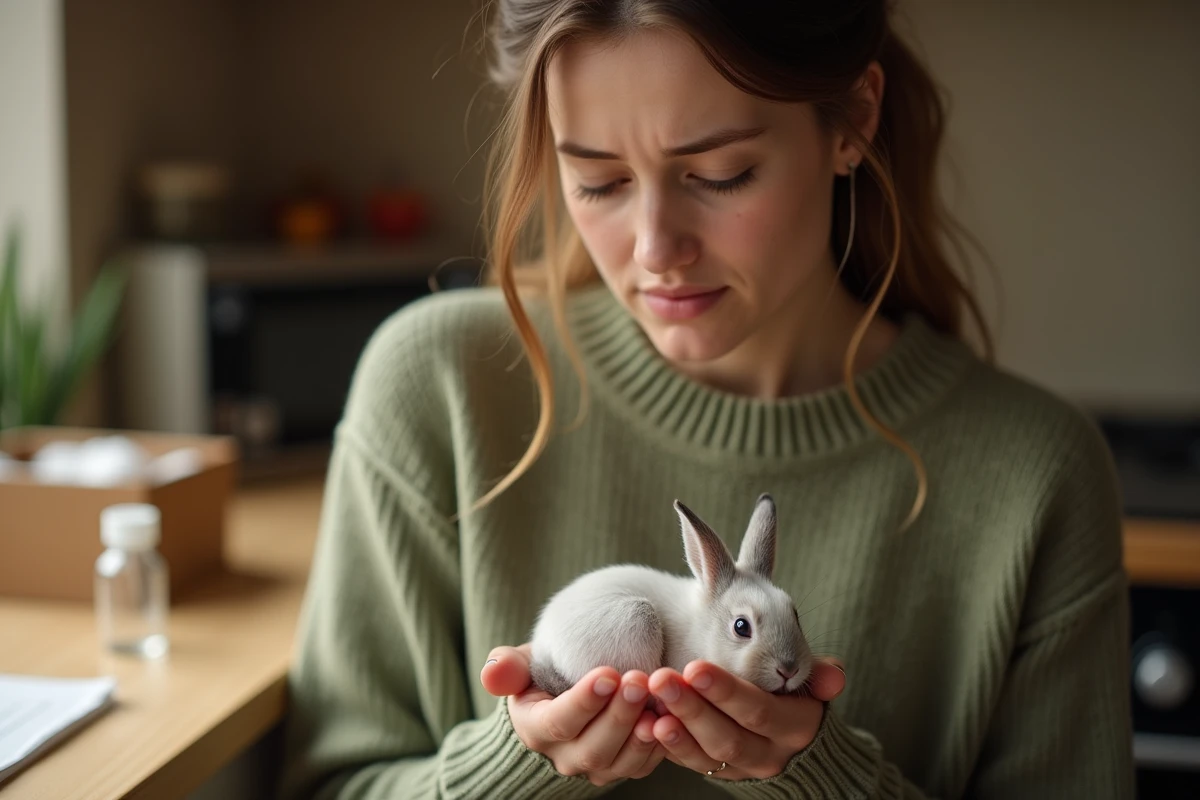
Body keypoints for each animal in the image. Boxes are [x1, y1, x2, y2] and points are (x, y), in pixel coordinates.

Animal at [528, 493, 813, 697]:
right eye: (741, 626)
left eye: (796, 615)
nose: (789, 669)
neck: (699, 631)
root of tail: (542, 648)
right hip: (636, 617)